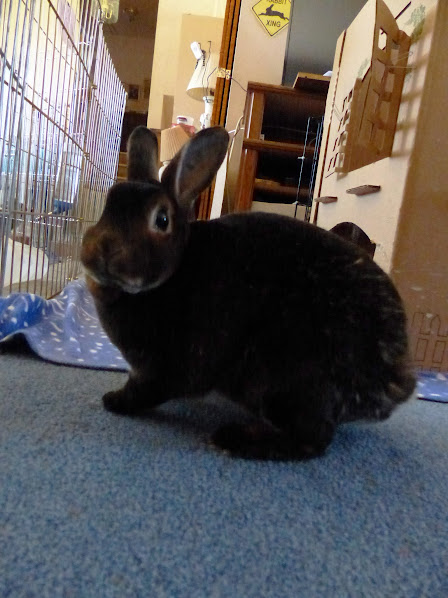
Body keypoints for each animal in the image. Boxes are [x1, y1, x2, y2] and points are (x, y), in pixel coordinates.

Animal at [80, 125, 416, 460]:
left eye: (161, 220)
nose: (101, 250)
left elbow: (143, 390)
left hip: (289, 376)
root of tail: (394, 381)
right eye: (109, 202)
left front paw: (113, 400)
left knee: (312, 439)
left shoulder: (162, 367)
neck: (172, 274)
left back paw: (233, 438)